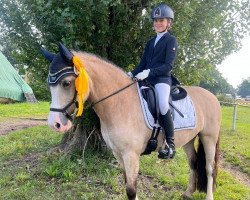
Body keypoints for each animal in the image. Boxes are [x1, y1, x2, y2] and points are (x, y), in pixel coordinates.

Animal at [42, 43, 221, 200]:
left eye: (66, 83)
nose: (55, 124)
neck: (120, 102)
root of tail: (212, 96)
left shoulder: (131, 155)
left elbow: (131, 190)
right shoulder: (118, 153)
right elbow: (127, 184)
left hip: (209, 137)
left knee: (209, 168)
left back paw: (209, 196)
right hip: (189, 139)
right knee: (193, 163)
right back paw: (188, 193)